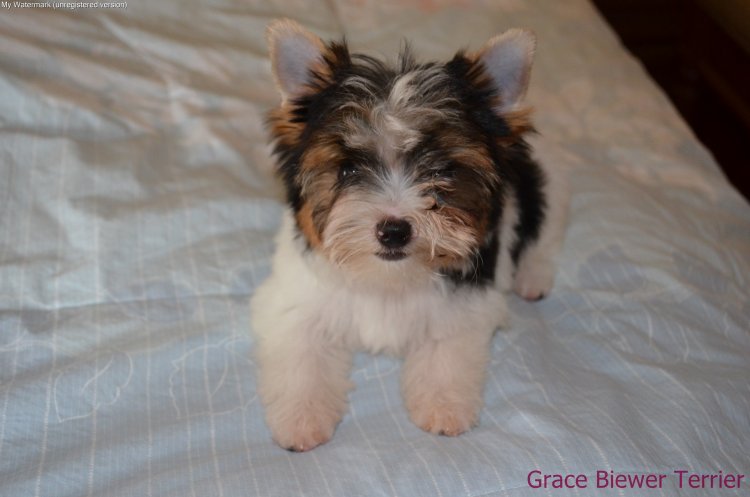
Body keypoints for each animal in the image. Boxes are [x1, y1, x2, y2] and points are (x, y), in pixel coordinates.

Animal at [251, 19, 568, 451]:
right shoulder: (297, 299)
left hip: (544, 189)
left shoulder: (464, 304)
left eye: (442, 171)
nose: (394, 230)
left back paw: (533, 278)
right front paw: (302, 417)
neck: (389, 278)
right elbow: (301, 349)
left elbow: (447, 349)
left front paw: (443, 404)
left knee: (543, 234)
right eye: (348, 169)